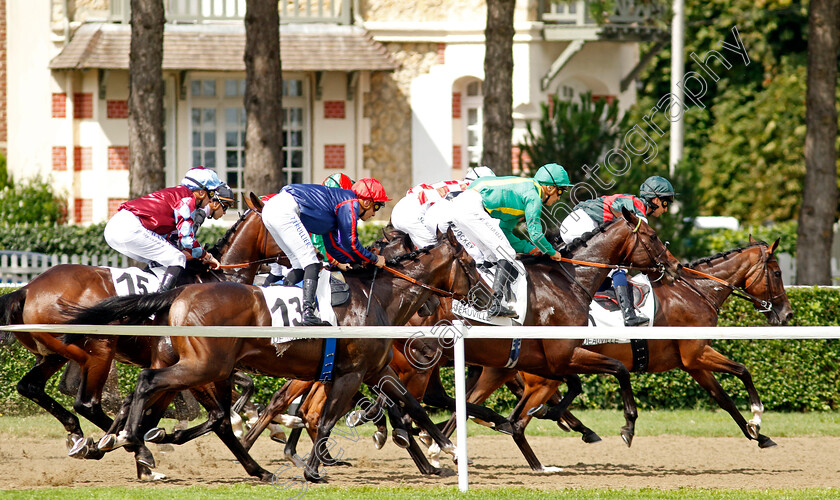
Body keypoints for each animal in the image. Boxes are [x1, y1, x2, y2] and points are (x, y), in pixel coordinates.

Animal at [0, 205, 284, 478]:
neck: (218, 283)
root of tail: (27, 289)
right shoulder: (200, 365)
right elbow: (220, 415)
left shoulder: (204, 364)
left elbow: (230, 401)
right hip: (100, 349)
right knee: (87, 403)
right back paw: (123, 443)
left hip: (55, 353)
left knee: (30, 386)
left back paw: (93, 437)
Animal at [62, 229, 482, 482]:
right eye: (471, 263)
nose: (487, 297)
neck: (376, 296)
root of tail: (179, 293)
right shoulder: (350, 374)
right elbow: (329, 420)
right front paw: (313, 470)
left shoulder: (373, 371)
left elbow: (411, 404)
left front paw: (445, 450)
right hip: (206, 366)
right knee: (155, 388)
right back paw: (135, 443)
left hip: (196, 365)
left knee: (172, 403)